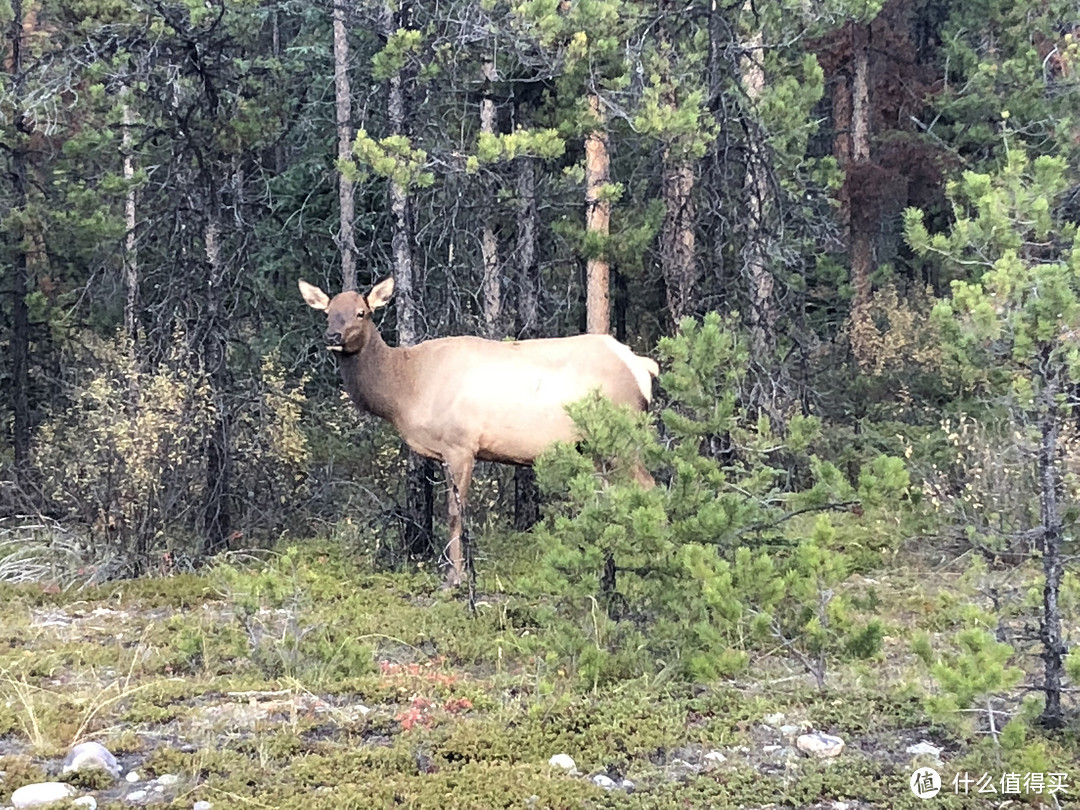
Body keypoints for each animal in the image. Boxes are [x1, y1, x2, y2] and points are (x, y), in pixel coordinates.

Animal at [300, 276, 660, 587]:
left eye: (361, 313)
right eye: (328, 312)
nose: (333, 337)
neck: (405, 391)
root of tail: (642, 367)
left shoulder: (460, 445)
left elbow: (455, 513)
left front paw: (455, 579)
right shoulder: (444, 453)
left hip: (623, 436)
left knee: (648, 485)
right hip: (592, 446)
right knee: (606, 495)